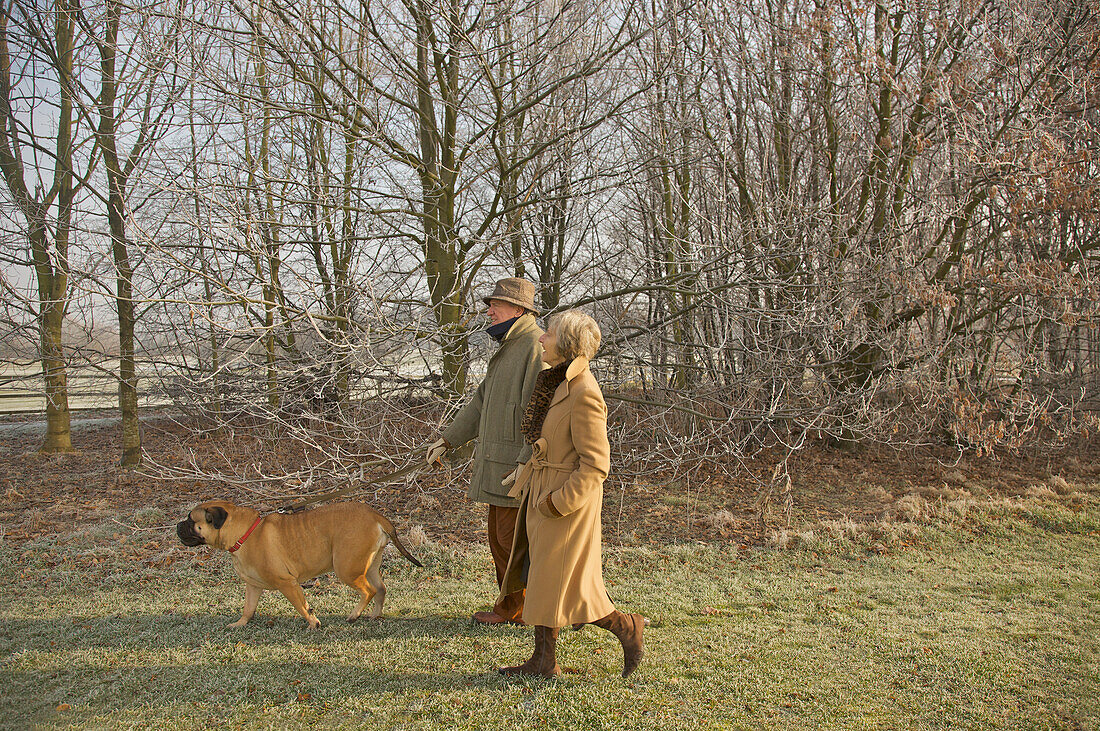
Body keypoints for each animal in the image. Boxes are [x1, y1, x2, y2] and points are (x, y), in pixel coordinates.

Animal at [178, 501, 422, 628]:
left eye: (191, 520)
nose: (178, 525)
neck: (244, 533)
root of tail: (376, 516)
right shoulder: (253, 586)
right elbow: (248, 607)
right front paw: (240, 623)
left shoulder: (287, 583)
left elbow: (302, 606)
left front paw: (313, 622)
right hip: (369, 565)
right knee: (380, 589)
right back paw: (374, 615)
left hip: (346, 568)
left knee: (368, 591)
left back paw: (354, 615)